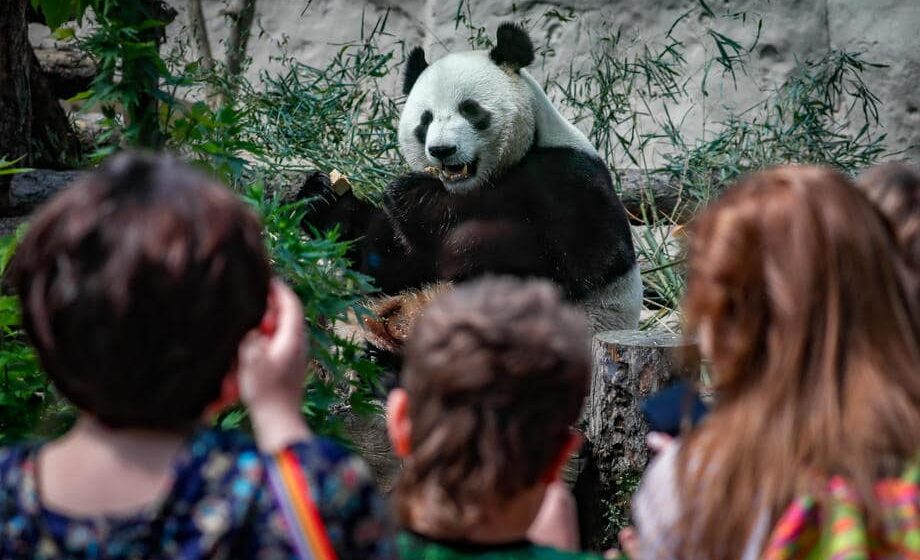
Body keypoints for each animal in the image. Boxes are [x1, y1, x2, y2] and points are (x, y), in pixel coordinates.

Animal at [310, 23, 640, 354]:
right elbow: (387, 265)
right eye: (425, 119)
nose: (442, 150)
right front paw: (323, 198)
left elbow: (574, 261)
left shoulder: (567, 178)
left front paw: (417, 198)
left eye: (470, 109)